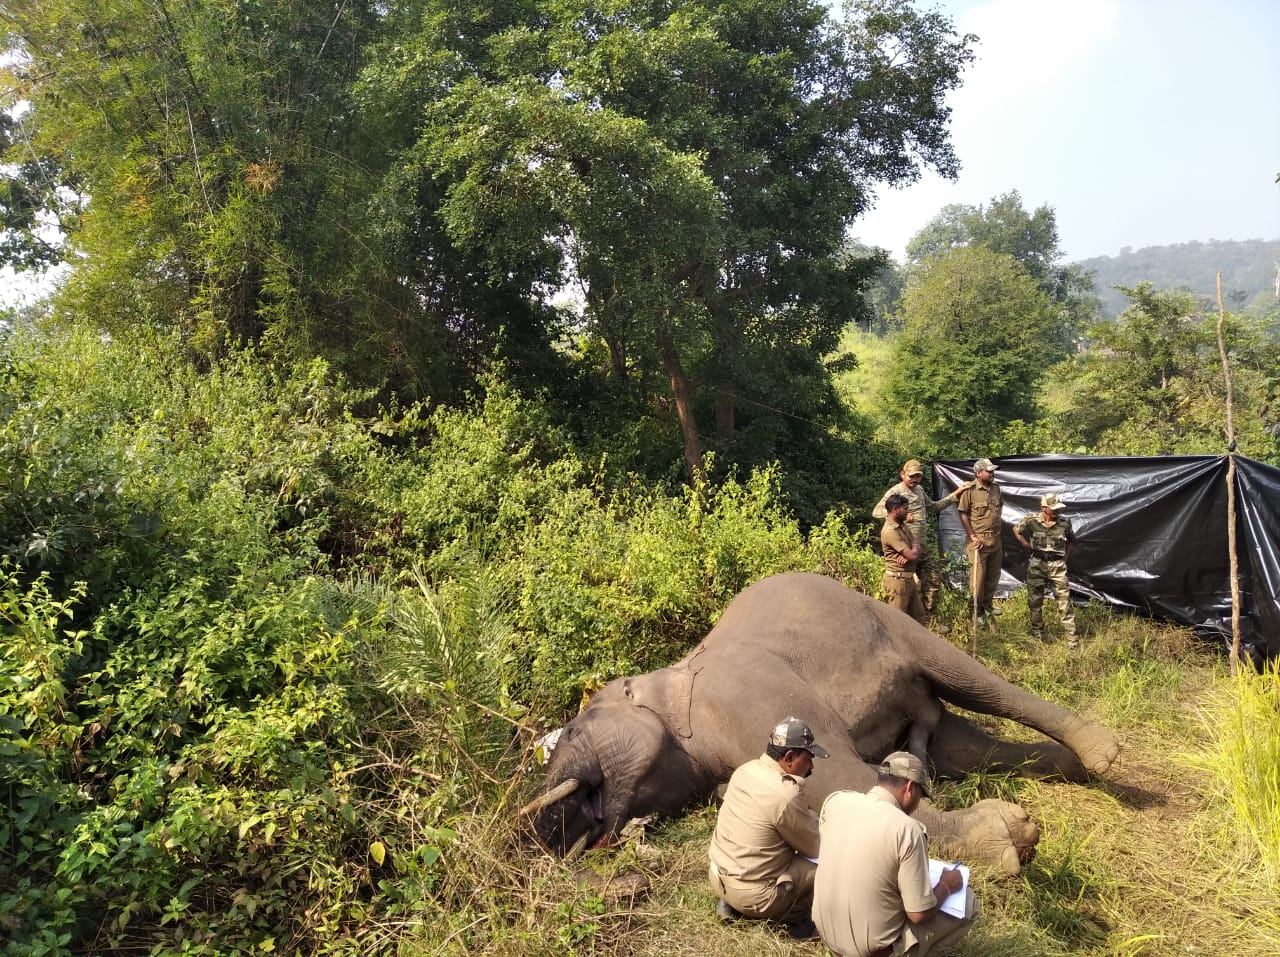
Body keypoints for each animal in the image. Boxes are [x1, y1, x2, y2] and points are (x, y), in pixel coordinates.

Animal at [522, 572, 1120, 874]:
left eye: (573, 730)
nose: (550, 842)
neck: (672, 679)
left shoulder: (747, 690)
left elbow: (836, 779)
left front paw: (1012, 837)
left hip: (892, 621)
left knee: (975, 681)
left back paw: (1103, 754)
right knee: (965, 747)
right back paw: (1074, 768)